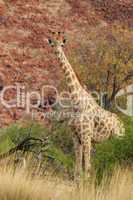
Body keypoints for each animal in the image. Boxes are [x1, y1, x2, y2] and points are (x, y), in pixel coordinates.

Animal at [47, 31, 124, 181]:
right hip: (105, 141)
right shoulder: (76, 136)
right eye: (52, 44)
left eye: (62, 44)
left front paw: (86, 183)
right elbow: (78, 166)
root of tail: (122, 124)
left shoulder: (87, 136)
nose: (57, 52)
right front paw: (78, 182)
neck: (77, 102)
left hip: (117, 137)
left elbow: (87, 167)